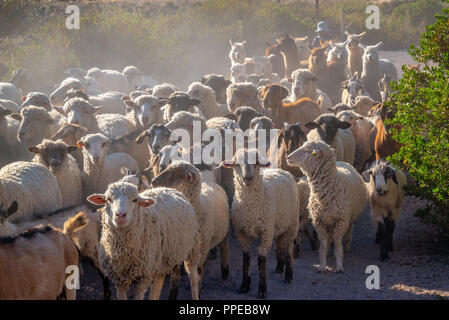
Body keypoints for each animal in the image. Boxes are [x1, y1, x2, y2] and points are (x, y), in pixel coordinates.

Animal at [226, 149, 300, 298]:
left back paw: (288, 274)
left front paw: (262, 289)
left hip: (292, 223)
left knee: (288, 247)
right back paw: (279, 267)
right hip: (277, 225)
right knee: (280, 243)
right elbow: (246, 259)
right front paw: (245, 285)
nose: (247, 178)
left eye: (256, 163)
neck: (251, 210)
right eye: (237, 164)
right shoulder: (241, 233)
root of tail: (281, 170)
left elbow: (261, 260)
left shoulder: (265, 232)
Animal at [288, 141, 368, 272]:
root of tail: (342, 162)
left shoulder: (341, 221)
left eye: (307, 151)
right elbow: (324, 243)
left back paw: (347, 247)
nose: (288, 157)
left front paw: (339, 266)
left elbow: (337, 243)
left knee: (349, 231)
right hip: (329, 220)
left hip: (348, 218)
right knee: (330, 236)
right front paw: (322, 265)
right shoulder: (318, 221)